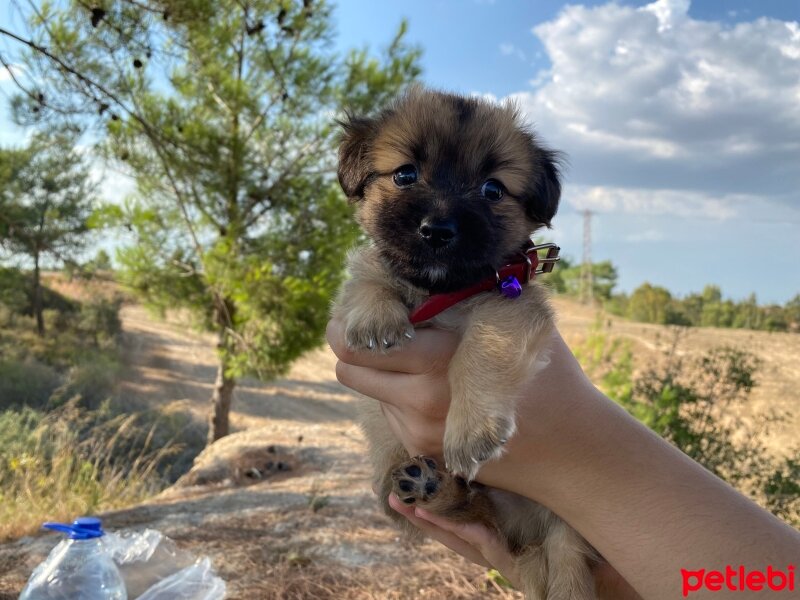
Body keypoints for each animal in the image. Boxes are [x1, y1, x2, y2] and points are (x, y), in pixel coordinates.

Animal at [332, 85, 600, 600]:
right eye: (405, 174)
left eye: (492, 190)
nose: (437, 230)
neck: (442, 291)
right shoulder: (369, 278)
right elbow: (368, 275)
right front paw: (375, 316)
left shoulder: (509, 304)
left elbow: (483, 348)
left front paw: (471, 428)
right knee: (465, 506)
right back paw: (432, 488)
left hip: (557, 523)